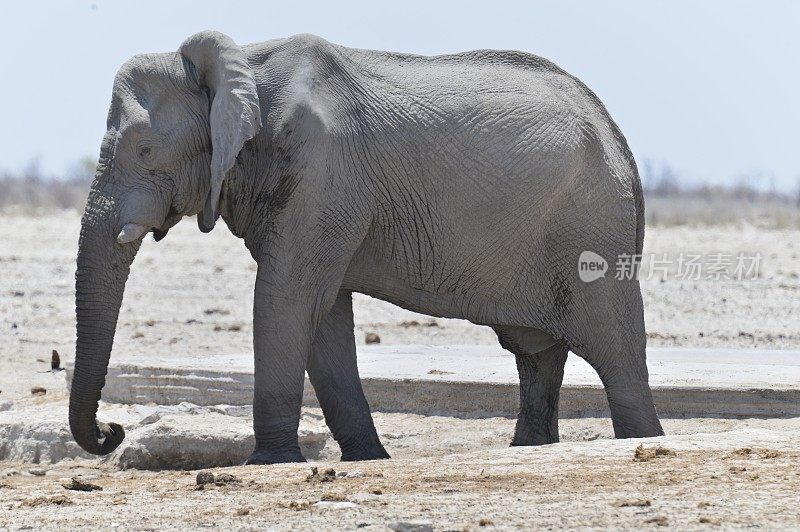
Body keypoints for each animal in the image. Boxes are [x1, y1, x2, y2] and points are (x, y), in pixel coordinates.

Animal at [73, 30, 664, 466]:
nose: (111, 431)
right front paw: (366, 459)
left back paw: (644, 440)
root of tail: (617, 135)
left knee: (614, 349)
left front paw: (269, 463)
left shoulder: (322, 173)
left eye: (144, 150)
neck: (243, 66)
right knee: (536, 353)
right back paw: (528, 448)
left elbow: (285, 299)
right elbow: (322, 314)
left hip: (589, 225)